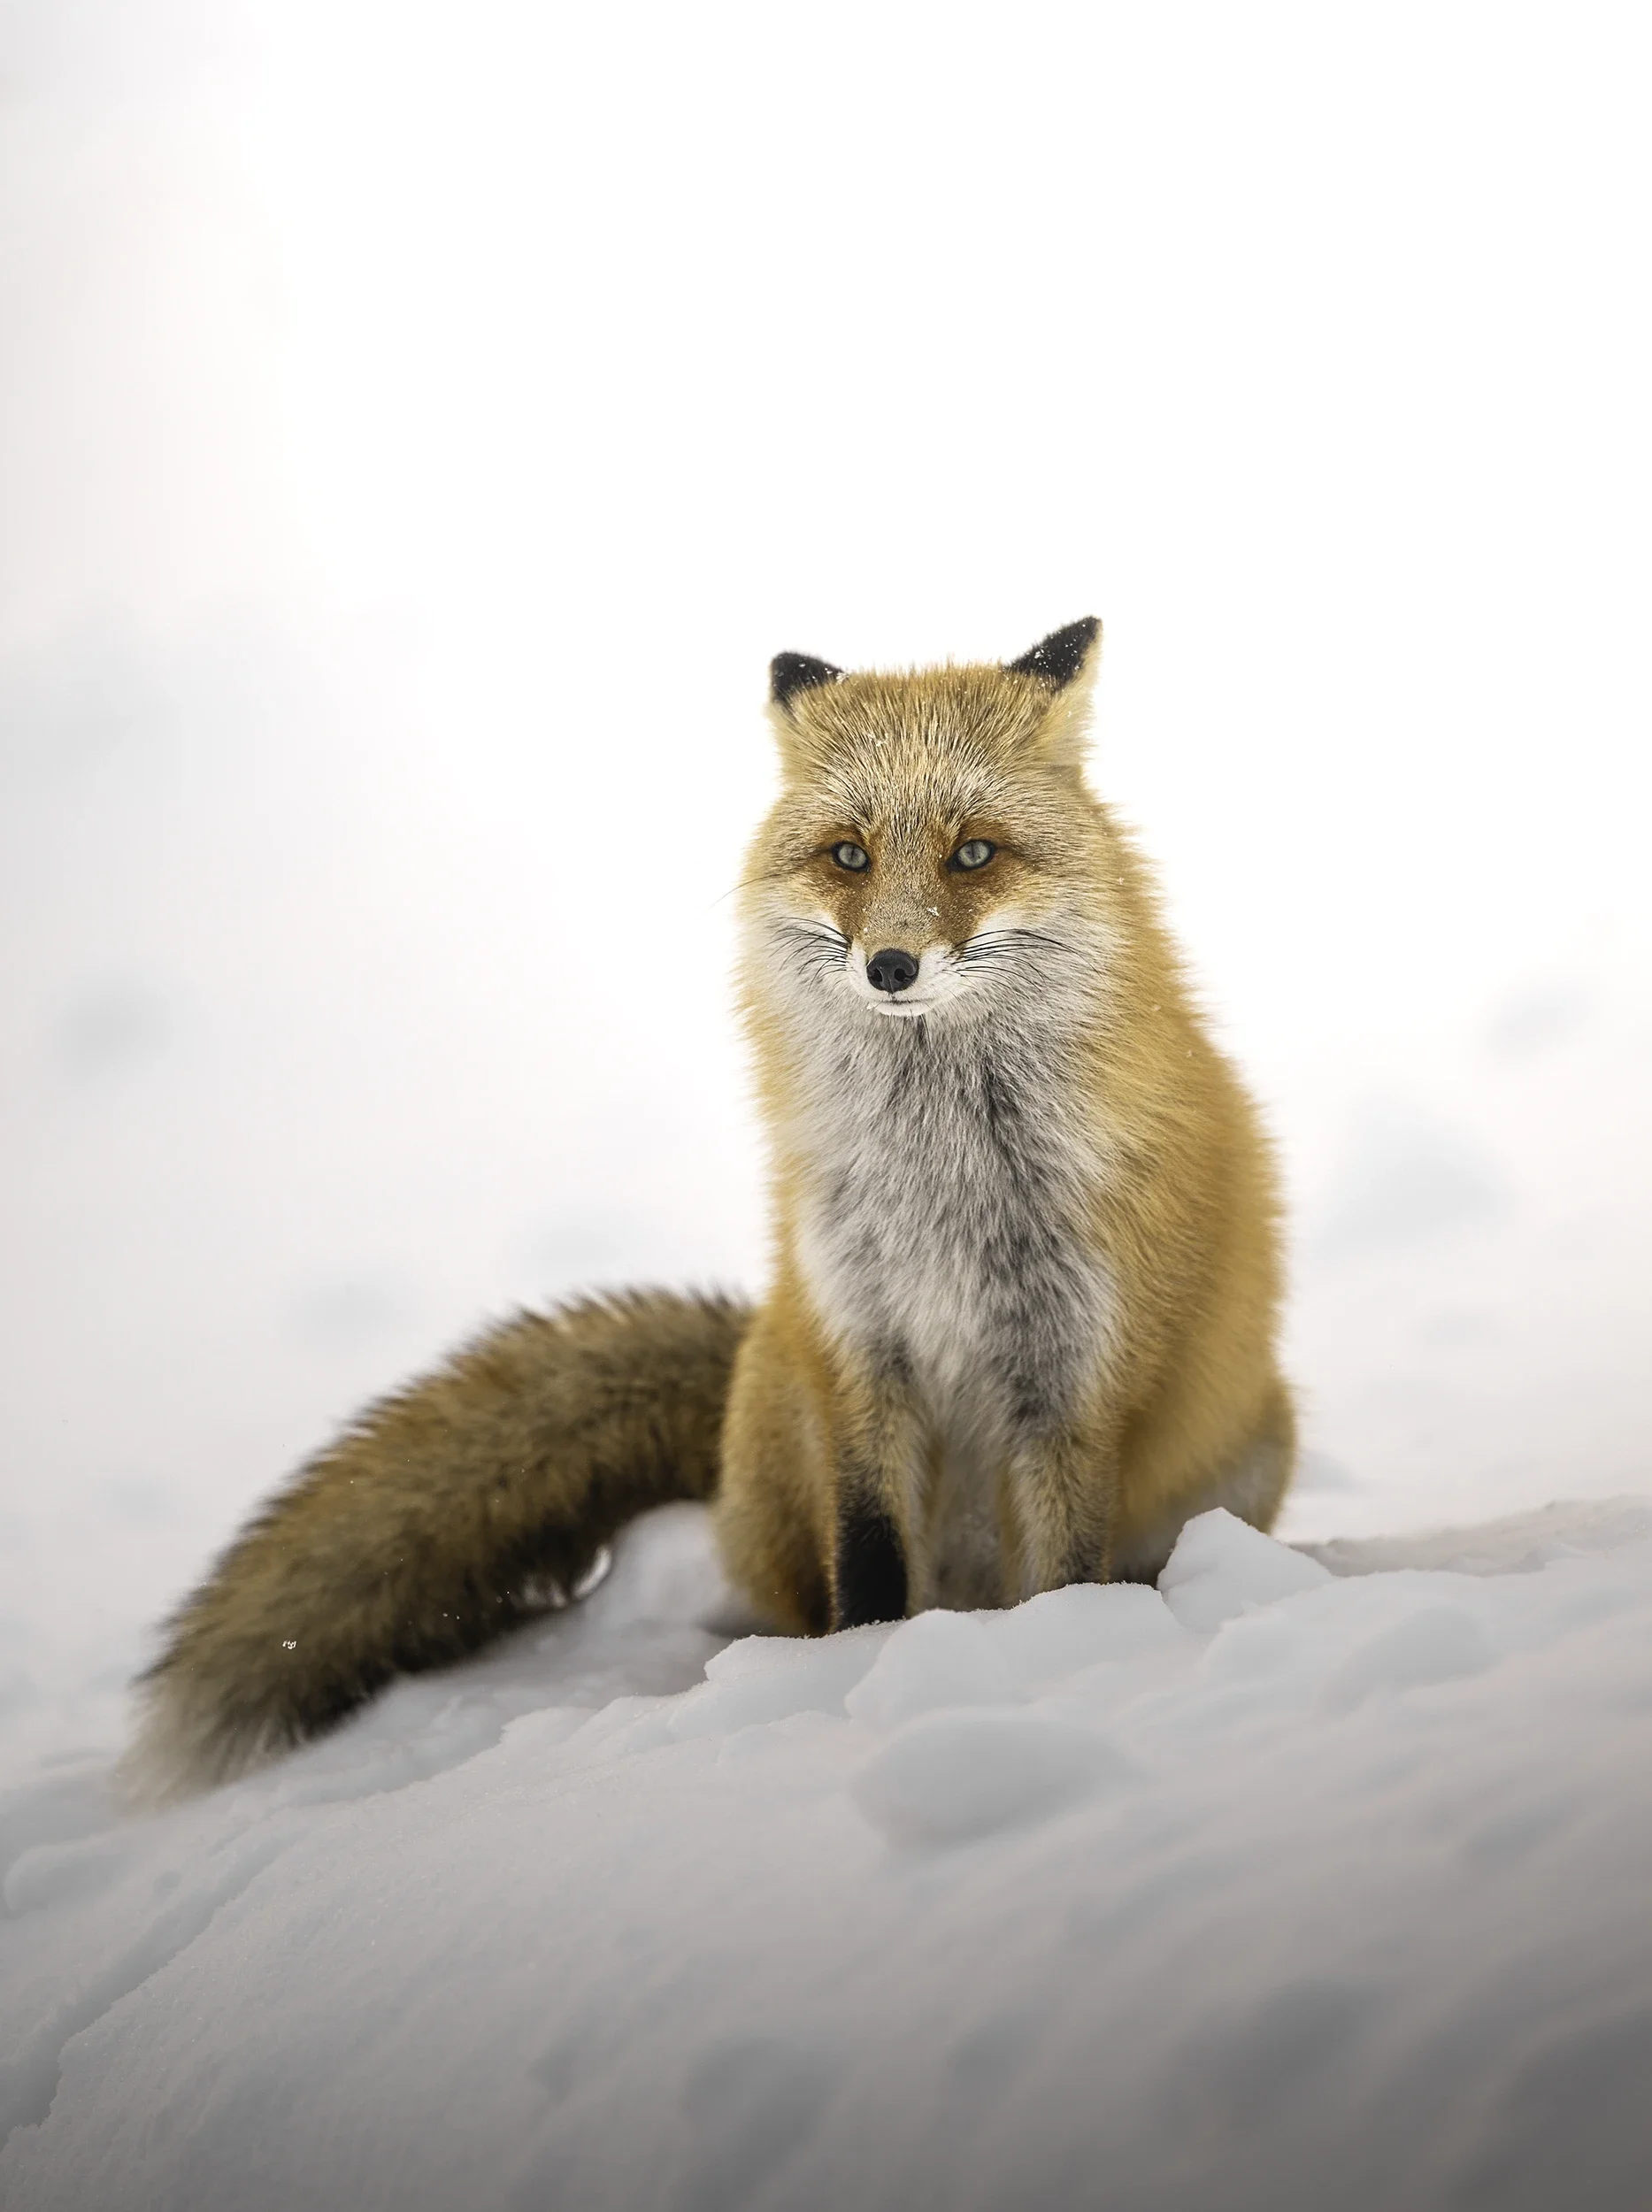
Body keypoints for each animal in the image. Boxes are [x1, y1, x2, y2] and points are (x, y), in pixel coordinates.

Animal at [127, 619, 1293, 1797]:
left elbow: (1062, 1572)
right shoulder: (857, 1350)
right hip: (785, 1400)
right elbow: (869, 1562)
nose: (890, 964)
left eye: (973, 854)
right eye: (848, 855)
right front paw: (864, 1674)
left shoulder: (1071, 1379)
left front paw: (1062, 1654)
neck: (943, 1191)